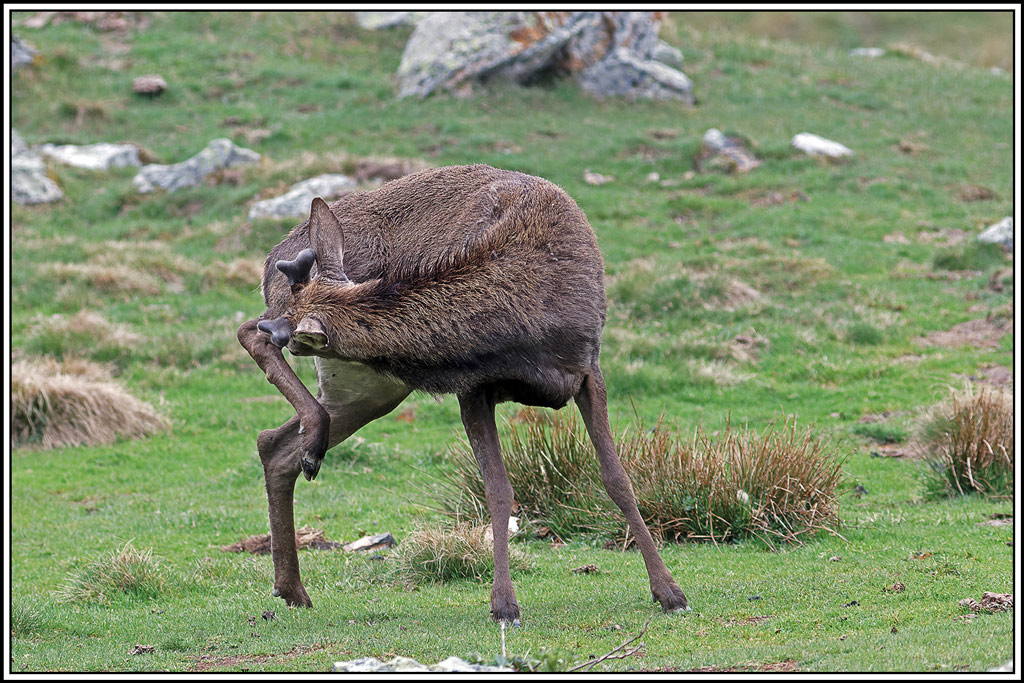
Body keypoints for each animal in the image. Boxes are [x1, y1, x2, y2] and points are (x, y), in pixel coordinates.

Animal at [236, 164, 689, 624]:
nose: (281, 329)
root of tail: (269, 261)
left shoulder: (587, 367)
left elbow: (617, 479)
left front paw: (670, 592)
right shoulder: (472, 385)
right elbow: (498, 490)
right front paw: (504, 604)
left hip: (375, 384)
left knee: (273, 441)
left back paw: (293, 586)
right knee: (248, 339)